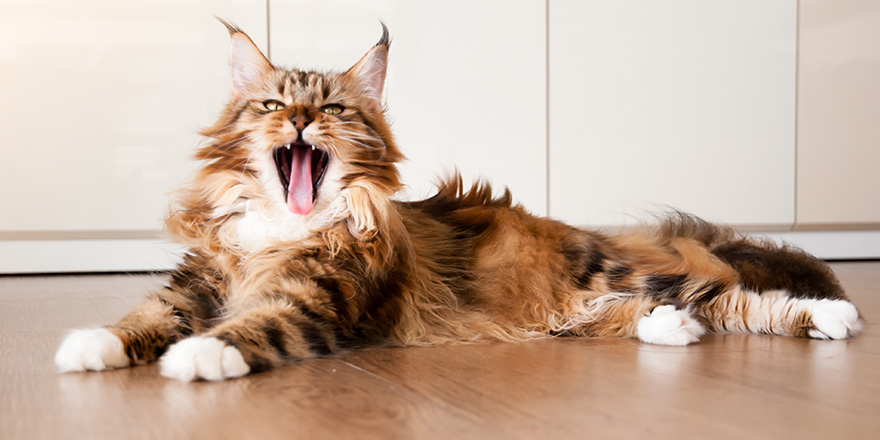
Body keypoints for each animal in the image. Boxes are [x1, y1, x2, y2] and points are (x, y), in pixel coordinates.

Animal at [53, 22, 860, 382]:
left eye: (334, 109)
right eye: (274, 105)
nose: (302, 121)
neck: (282, 231)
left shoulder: (310, 302)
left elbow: (245, 328)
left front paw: (196, 356)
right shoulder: (194, 284)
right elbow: (142, 319)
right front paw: (90, 345)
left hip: (615, 273)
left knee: (734, 299)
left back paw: (830, 316)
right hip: (576, 309)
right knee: (654, 314)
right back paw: (672, 331)